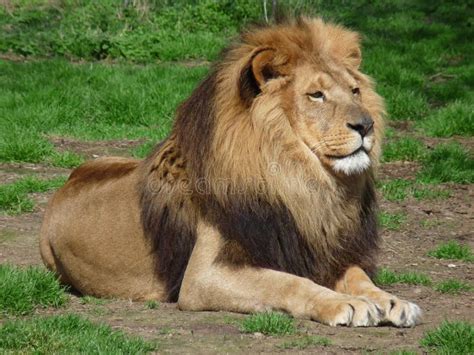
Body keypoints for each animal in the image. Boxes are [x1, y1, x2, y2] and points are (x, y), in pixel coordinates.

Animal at [39, 17, 420, 328]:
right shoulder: (203, 276)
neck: (301, 182)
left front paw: (392, 301)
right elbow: (288, 282)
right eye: (316, 95)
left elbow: (359, 276)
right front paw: (344, 304)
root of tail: (66, 182)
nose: (366, 125)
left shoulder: (320, 250)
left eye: (355, 90)